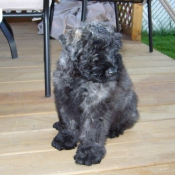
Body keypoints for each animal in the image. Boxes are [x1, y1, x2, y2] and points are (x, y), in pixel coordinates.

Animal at [51, 21, 139, 166]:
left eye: (116, 47)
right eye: (93, 49)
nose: (113, 71)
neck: (79, 77)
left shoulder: (96, 105)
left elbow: (92, 130)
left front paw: (89, 152)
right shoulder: (64, 99)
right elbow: (68, 121)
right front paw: (66, 138)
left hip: (129, 105)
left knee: (126, 121)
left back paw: (114, 130)